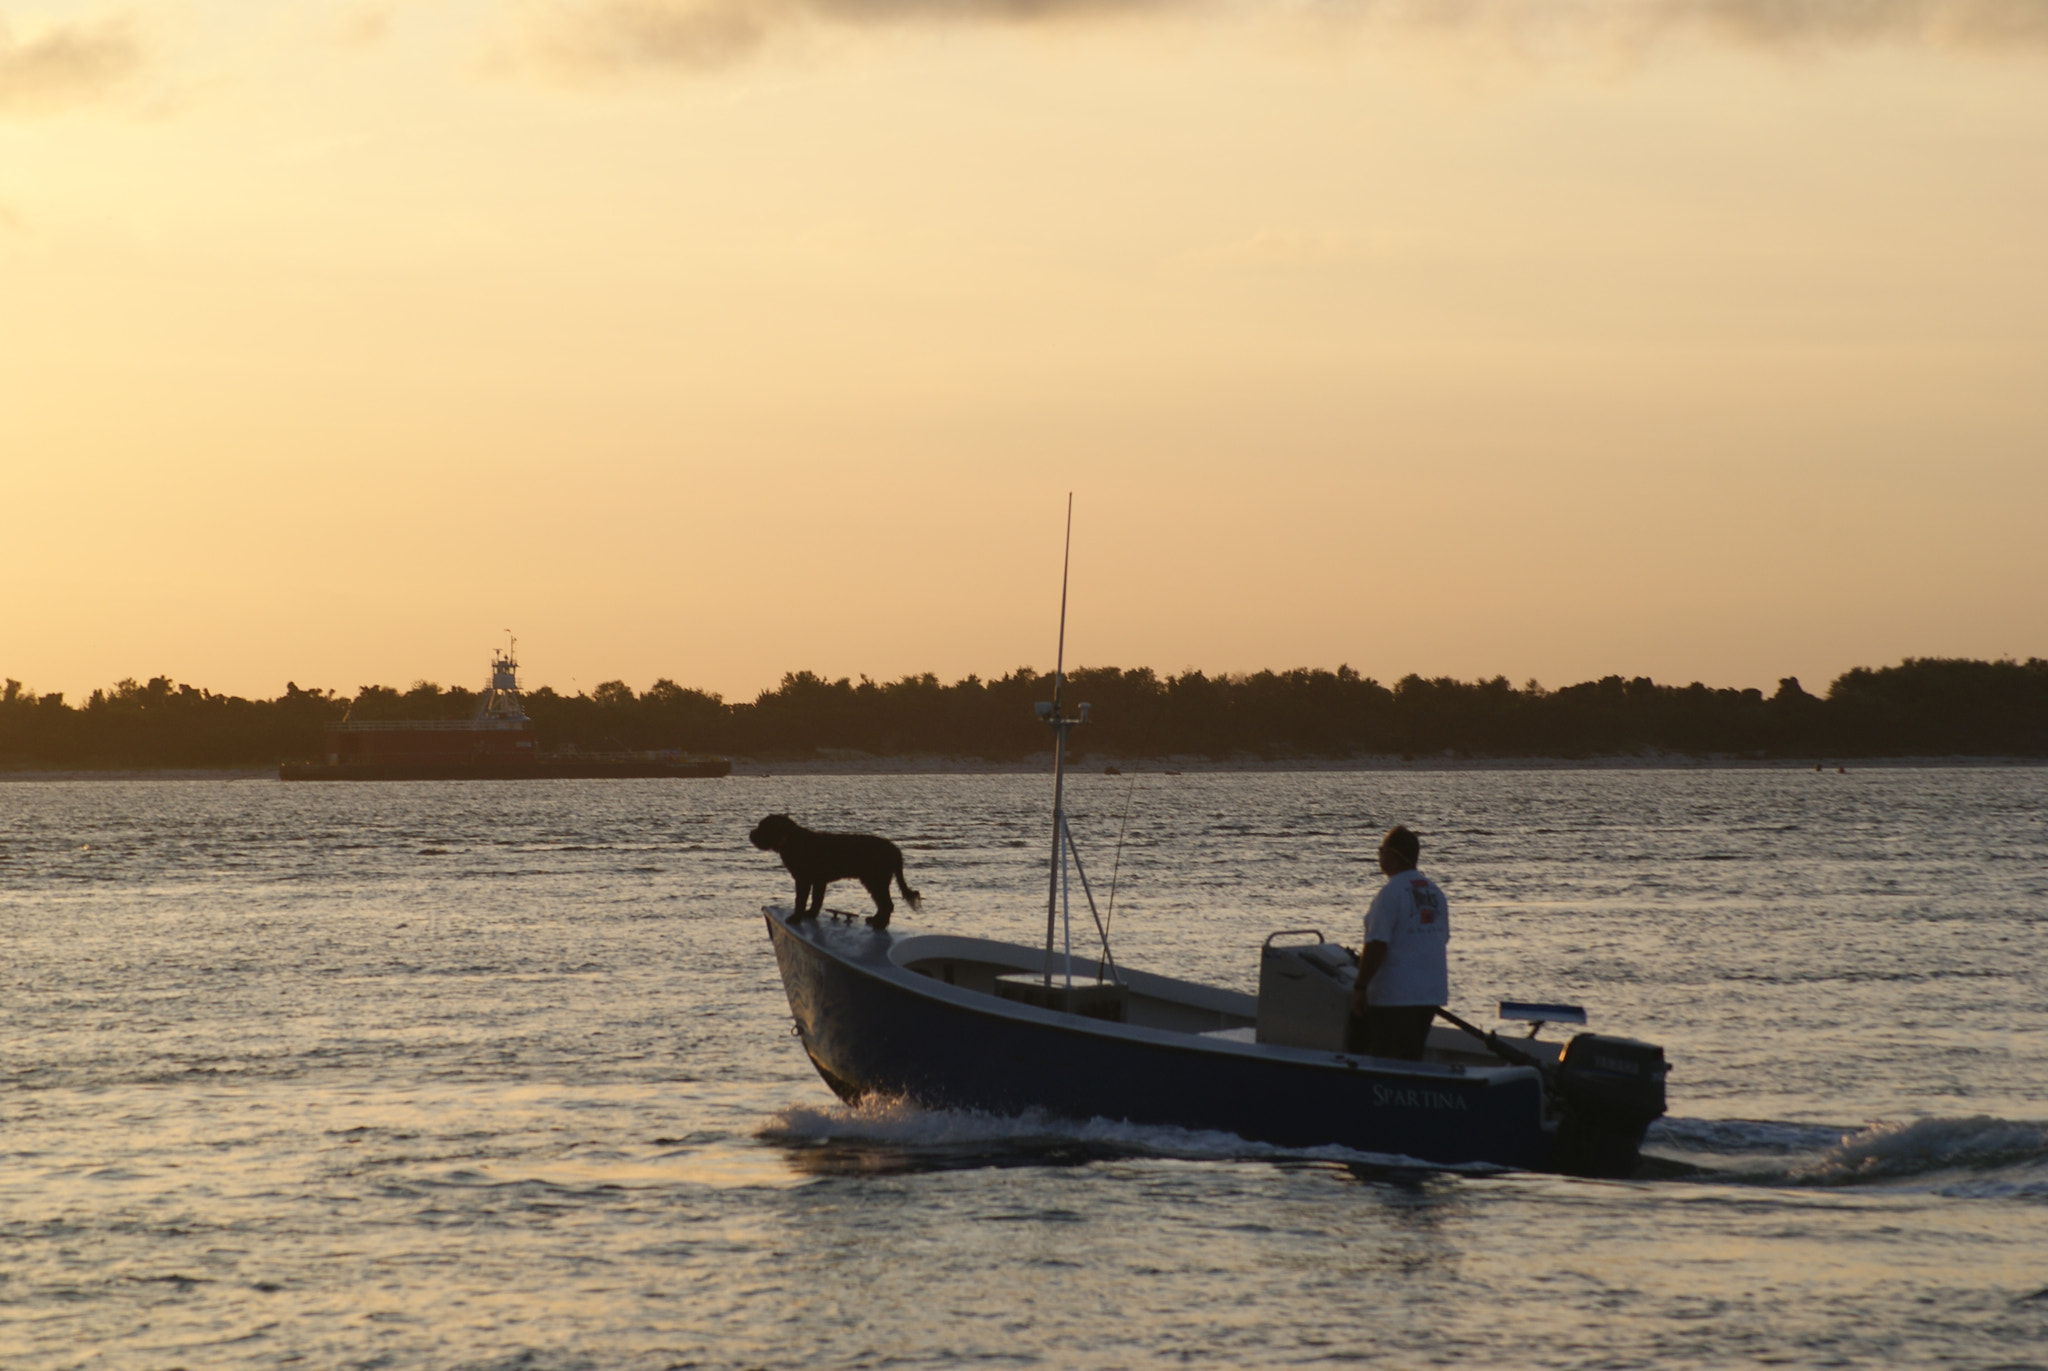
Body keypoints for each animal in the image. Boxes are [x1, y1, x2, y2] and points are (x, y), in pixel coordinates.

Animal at [749, 811, 925, 930]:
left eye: (762, 827)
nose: (751, 834)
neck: (790, 838)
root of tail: (894, 850)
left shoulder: (803, 879)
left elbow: (800, 900)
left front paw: (796, 917)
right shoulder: (819, 881)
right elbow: (816, 900)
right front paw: (810, 914)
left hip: (876, 879)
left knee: (887, 904)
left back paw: (881, 924)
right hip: (874, 881)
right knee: (882, 904)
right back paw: (875, 919)